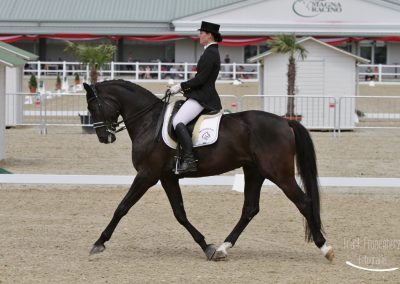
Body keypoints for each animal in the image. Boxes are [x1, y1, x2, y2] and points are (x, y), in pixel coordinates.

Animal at [83, 80, 334, 262]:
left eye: (93, 106)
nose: (104, 137)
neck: (149, 121)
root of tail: (285, 122)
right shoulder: (166, 177)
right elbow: (180, 213)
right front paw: (207, 247)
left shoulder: (147, 175)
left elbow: (122, 207)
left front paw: (99, 243)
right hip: (254, 171)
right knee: (250, 209)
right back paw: (223, 248)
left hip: (279, 174)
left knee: (304, 202)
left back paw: (325, 247)